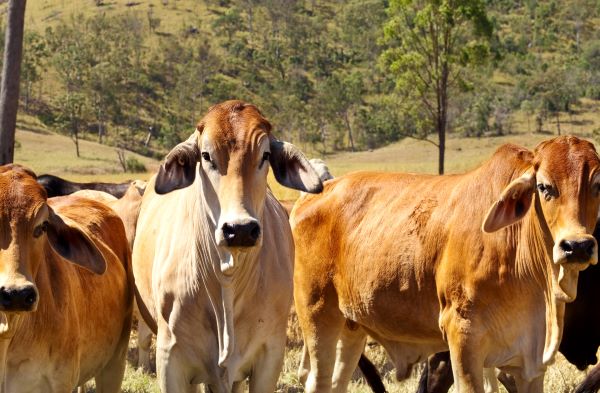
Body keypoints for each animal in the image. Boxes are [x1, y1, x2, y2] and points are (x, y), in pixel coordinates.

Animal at [132, 100, 324, 392]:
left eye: (265, 155)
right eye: (206, 155)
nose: (240, 229)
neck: (226, 278)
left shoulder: (269, 355)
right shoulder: (169, 359)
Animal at [290, 136, 600, 392]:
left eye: (598, 186)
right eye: (544, 186)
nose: (577, 246)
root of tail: (318, 192)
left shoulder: (530, 363)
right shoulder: (463, 339)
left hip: (351, 325)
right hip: (318, 315)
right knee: (317, 379)